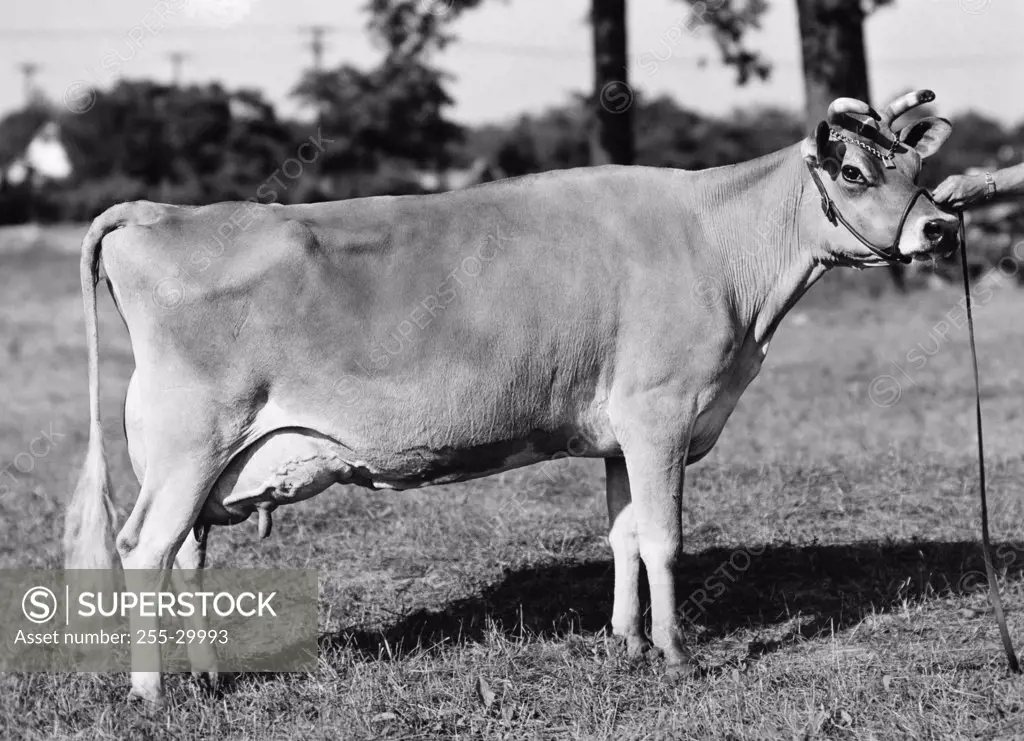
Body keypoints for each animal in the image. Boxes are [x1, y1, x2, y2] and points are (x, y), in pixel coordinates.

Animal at [64, 89, 958, 704]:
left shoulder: (619, 434)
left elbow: (624, 536)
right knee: (144, 550)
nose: (940, 229)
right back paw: (150, 689)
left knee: (186, 557)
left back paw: (206, 676)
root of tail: (162, 213)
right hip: (187, 445)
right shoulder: (661, 415)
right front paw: (676, 652)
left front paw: (627, 641)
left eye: (917, 170)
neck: (720, 246)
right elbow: (665, 540)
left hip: (211, 461)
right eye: (854, 172)